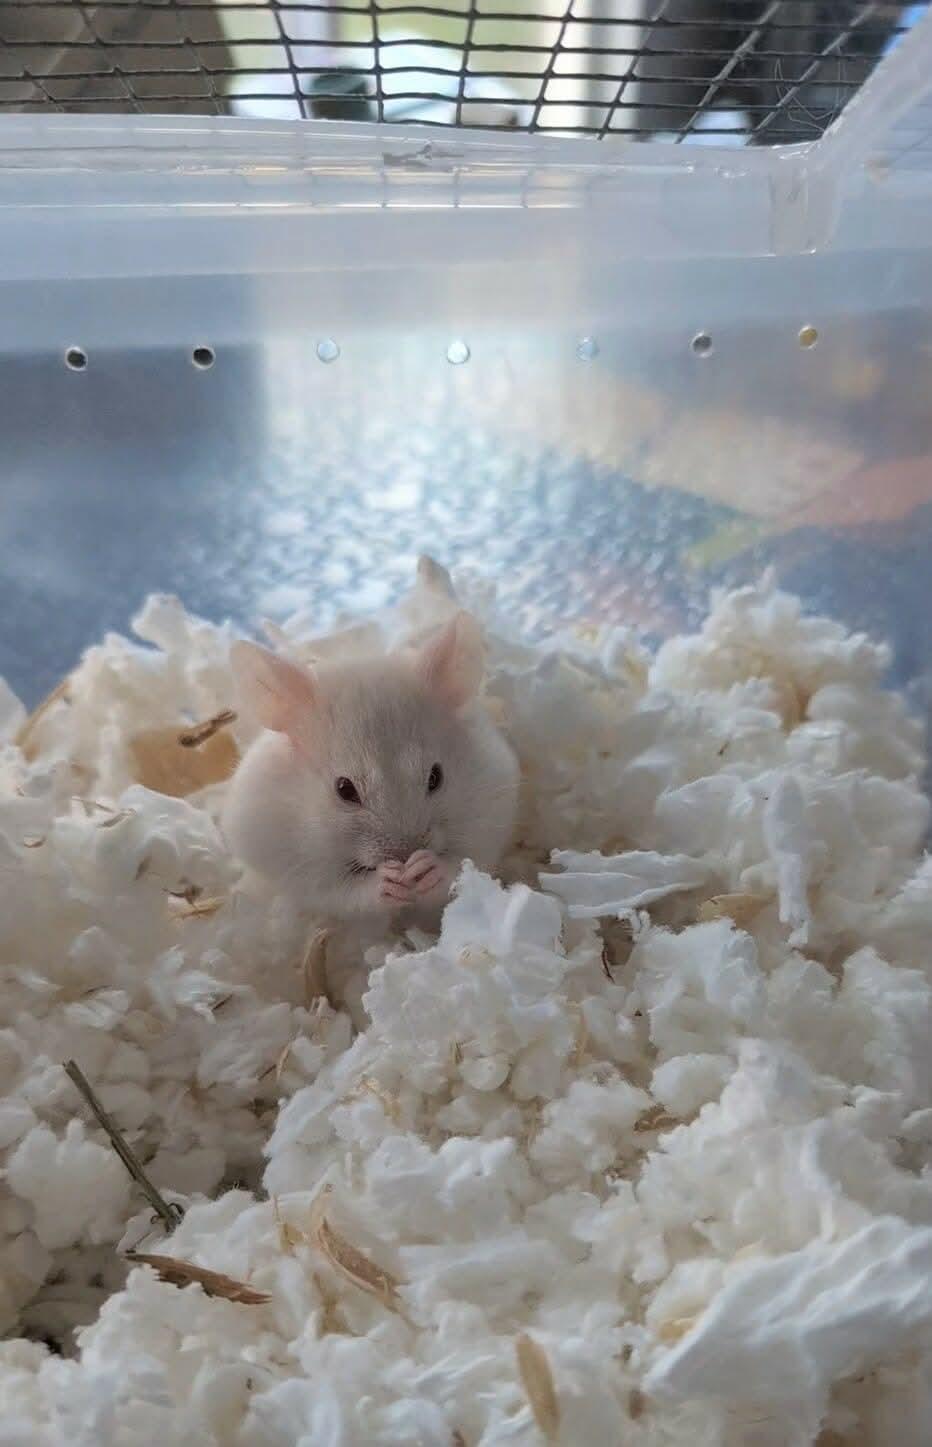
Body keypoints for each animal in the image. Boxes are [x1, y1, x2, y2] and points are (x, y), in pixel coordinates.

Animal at [222, 612, 520, 925]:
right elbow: (347, 893)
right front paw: (389, 880)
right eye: (344, 789)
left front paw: (423, 868)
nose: (405, 857)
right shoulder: (302, 869)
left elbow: (458, 868)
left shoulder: (487, 825)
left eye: (435, 777)